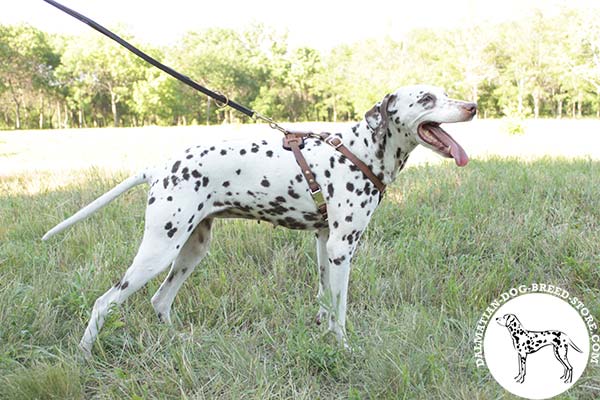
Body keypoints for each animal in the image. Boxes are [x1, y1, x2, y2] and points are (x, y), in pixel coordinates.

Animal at [42, 83, 476, 356]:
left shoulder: (324, 244)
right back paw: (84, 355)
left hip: (192, 250)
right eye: (426, 98)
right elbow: (340, 310)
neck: (361, 150)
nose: (472, 106)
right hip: (158, 252)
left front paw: (323, 336)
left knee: (160, 300)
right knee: (104, 303)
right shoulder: (342, 249)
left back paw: (179, 342)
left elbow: (324, 300)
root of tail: (159, 168)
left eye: (445, 91)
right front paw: (344, 348)